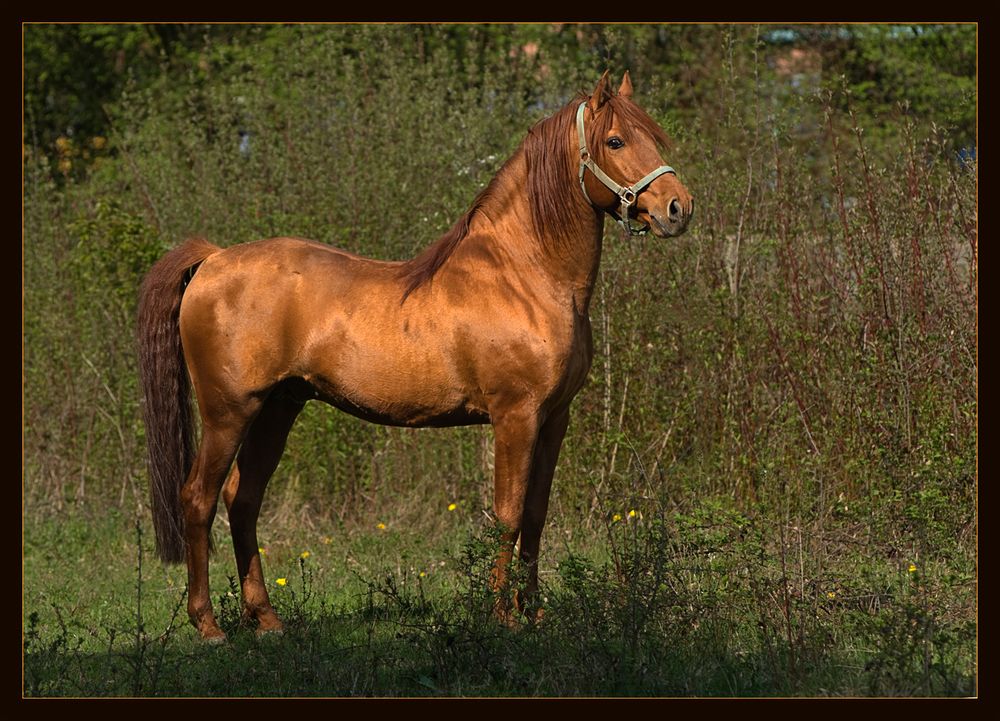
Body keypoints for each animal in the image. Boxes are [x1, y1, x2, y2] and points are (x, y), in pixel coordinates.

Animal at [135, 70, 696, 640]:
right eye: (616, 141)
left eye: (653, 135)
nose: (678, 208)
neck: (523, 276)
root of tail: (214, 260)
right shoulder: (515, 416)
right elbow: (508, 515)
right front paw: (502, 617)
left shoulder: (554, 417)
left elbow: (536, 515)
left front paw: (535, 613)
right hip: (229, 412)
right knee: (199, 499)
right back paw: (208, 625)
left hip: (277, 408)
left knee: (243, 501)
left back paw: (268, 619)